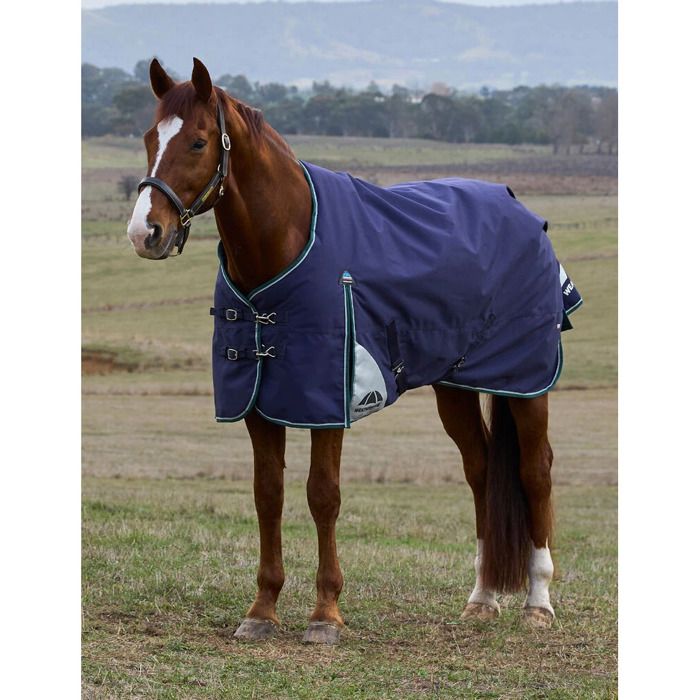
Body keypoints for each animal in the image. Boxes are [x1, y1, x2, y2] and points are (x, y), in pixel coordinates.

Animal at [127, 57, 579, 645]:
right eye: (148, 137)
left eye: (199, 142)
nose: (144, 232)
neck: (287, 242)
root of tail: (521, 211)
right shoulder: (258, 403)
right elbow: (268, 494)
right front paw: (262, 610)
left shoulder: (328, 403)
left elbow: (323, 496)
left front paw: (325, 615)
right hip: (455, 386)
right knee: (480, 470)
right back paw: (481, 597)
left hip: (525, 383)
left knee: (534, 471)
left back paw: (538, 601)